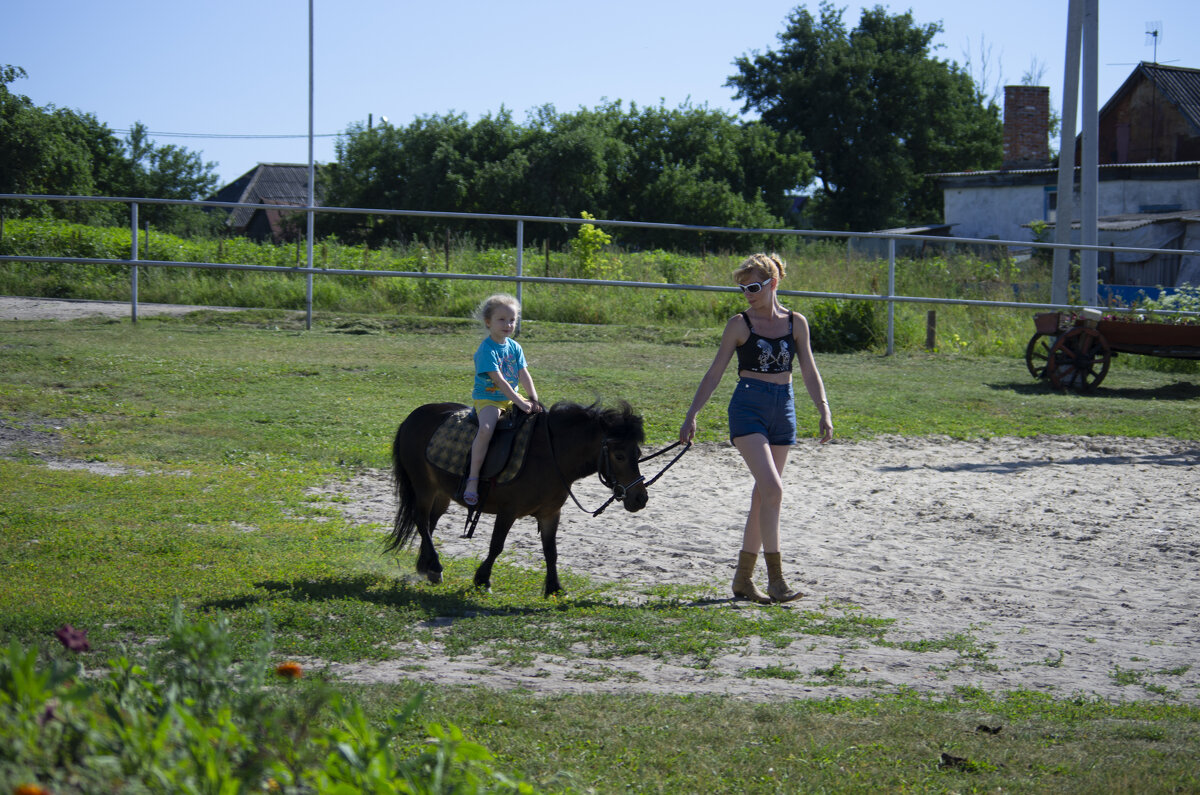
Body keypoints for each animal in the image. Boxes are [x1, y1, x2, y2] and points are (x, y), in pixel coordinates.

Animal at [386, 401, 648, 595]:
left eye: (638, 453)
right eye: (620, 455)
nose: (640, 499)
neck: (550, 455)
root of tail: (413, 416)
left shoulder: (550, 513)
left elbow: (551, 551)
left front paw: (554, 588)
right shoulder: (508, 511)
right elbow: (496, 545)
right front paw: (482, 579)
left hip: (441, 493)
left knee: (430, 523)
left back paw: (426, 566)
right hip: (424, 486)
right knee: (421, 520)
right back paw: (435, 567)